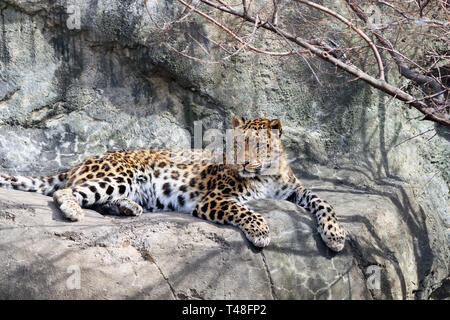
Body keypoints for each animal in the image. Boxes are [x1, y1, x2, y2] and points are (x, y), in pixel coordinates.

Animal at [0, 116, 346, 251]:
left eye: (258, 146)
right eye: (237, 145)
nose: (245, 164)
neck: (268, 175)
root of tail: (78, 162)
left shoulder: (296, 191)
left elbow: (324, 201)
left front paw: (335, 235)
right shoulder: (214, 199)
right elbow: (247, 210)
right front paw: (260, 231)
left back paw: (129, 208)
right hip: (122, 175)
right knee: (65, 191)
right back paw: (74, 211)